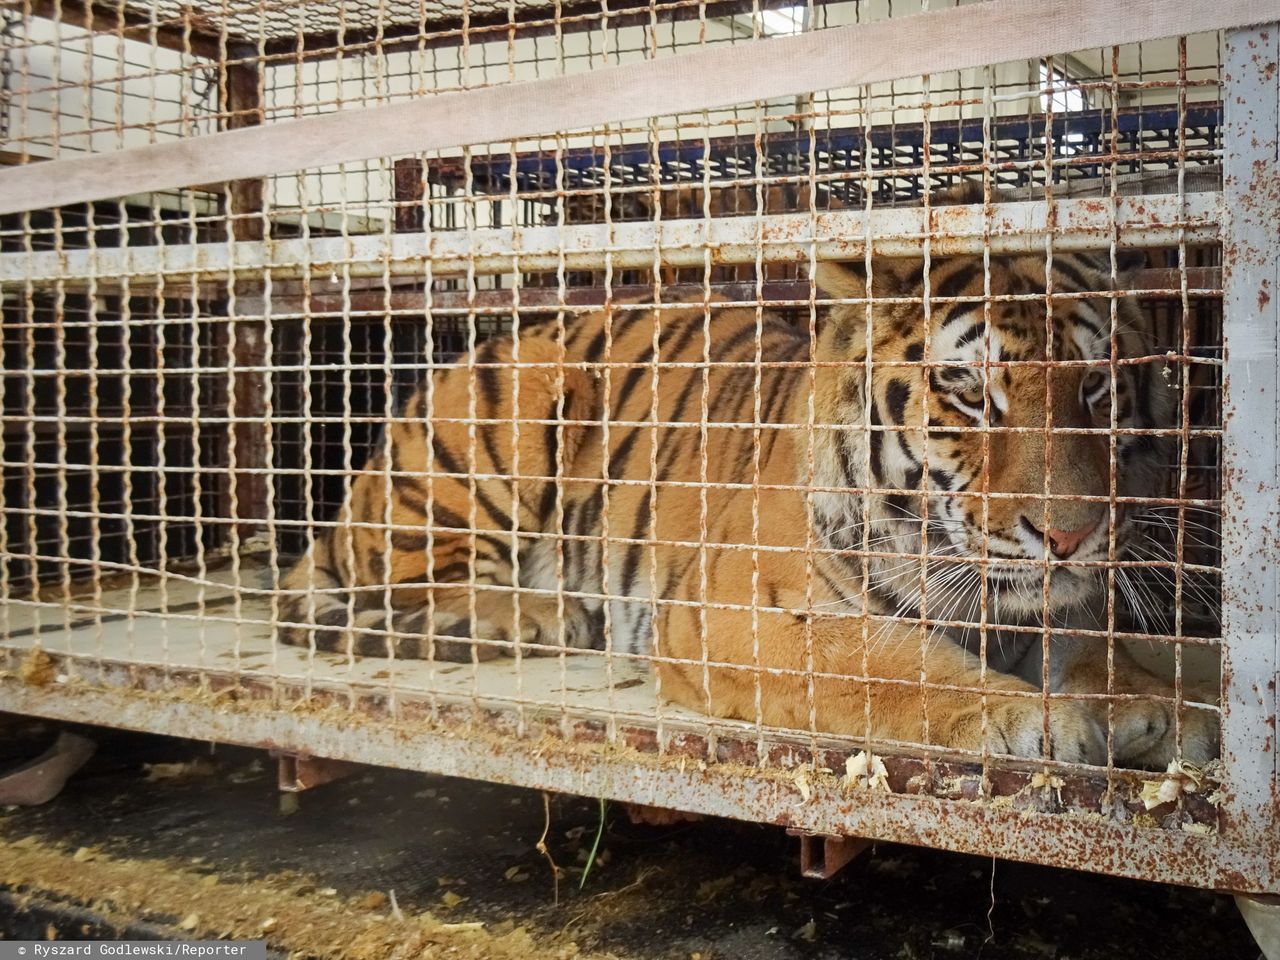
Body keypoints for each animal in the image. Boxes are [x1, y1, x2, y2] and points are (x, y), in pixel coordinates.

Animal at [280, 193, 1218, 768]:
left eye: (1097, 388)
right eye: (968, 392)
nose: (1071, 535)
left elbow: (1096, 648)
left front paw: (1161, 707)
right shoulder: (746, 613)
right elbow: (892, 667)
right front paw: (1030, 717)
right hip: (491, 428)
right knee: (424, 578)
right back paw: (540, 613)